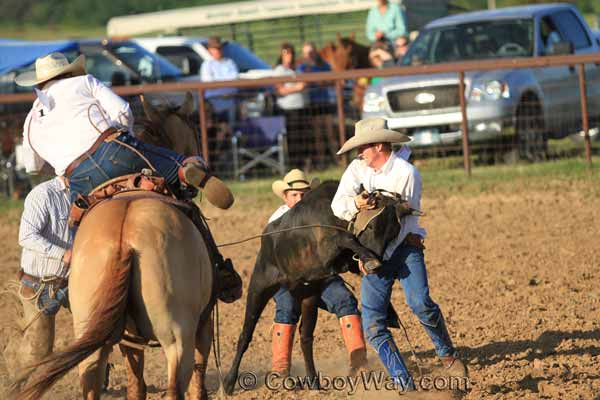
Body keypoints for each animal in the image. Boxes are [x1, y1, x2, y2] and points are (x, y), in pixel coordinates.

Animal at [11, 93, 217, 400]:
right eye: (194, 133)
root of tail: (124, 238)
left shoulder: (130, 339)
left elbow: (136, 383)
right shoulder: (204, 321)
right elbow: (199, 376)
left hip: (92, 330)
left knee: (92, 381)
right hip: (177, 338)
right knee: (175, 386)